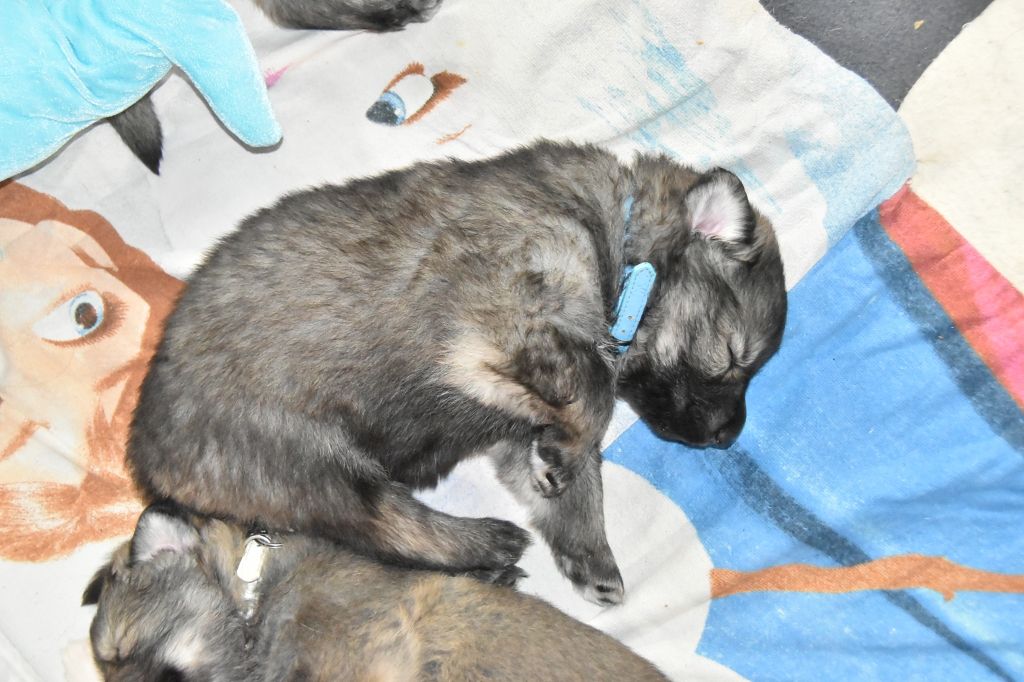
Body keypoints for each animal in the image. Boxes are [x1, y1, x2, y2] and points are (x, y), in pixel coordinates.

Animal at [127, 140, 787, 605]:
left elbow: (575, 473)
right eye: (734, 356)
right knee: (388, 528)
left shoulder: (512, 410)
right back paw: (487, 544)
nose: (727, 437)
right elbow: (595, 396)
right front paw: (568, 463)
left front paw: (588, 550)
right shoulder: (491, 332)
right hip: (307, 459)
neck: (616, 240)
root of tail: (148, 456)